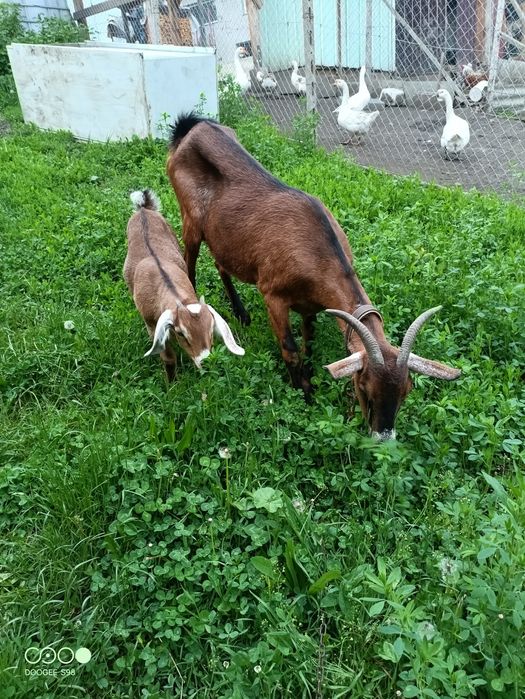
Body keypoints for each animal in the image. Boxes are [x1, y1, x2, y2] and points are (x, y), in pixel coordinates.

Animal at [123, 188, 244, 380]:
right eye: (181, 333)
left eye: (211, 328)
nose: (206, 362)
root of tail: (143, 210)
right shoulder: (151, 324)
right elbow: (168, 358)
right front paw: (171, 384)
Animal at [166, 113, 460, 439]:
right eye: (365, 387)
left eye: (406, 391)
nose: (383, 437)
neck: (317, 250)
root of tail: (190, 128)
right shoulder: (273, 296)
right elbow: (291, 350)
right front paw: (303, 393)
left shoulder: (312, 305)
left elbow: (310, 344)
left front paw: (309, 377)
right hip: (191, 221)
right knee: (189, 264)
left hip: (223, 236)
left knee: (221, 264)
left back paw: (241, 314)